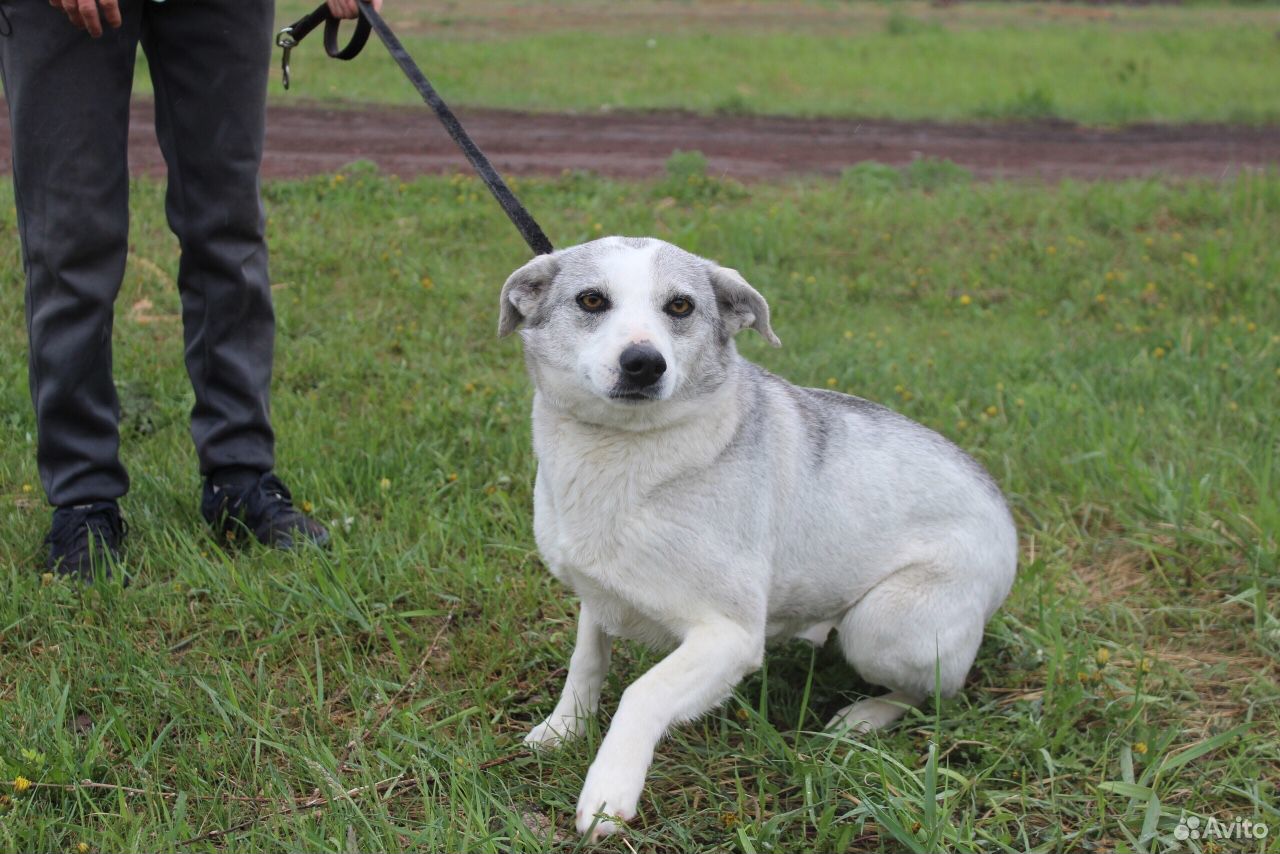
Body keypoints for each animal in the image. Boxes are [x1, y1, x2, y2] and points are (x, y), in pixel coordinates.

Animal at [494, 236, 1013, 839]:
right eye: (592, 300)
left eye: (680, 306)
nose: (644, 363)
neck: (620, 450)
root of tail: (1006, 514)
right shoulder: (596, 593)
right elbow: (586, 662)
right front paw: (564, 729)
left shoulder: (731, 636)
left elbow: (642, 692)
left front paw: (608, 791)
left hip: (882, 626)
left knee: (937, 691)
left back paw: (866, 716)